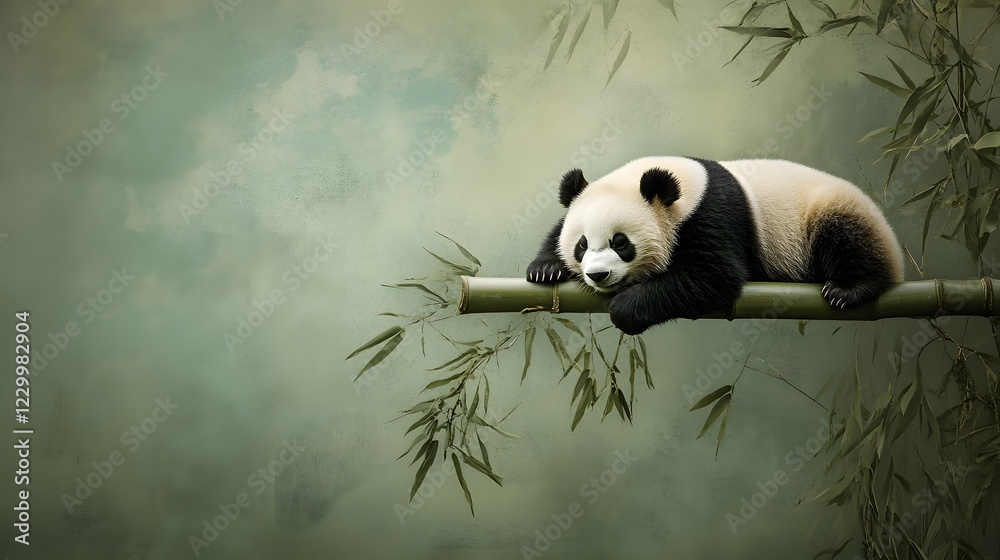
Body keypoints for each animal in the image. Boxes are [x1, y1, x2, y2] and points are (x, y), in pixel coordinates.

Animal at [525, 156, 904, 335]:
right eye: (582, 245)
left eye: (621, 243)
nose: (598, 275)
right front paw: (545, 269)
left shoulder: (712, 216)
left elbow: (713, 275)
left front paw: (624, 309)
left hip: (827, 212)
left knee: (848, 238)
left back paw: (846, 288)